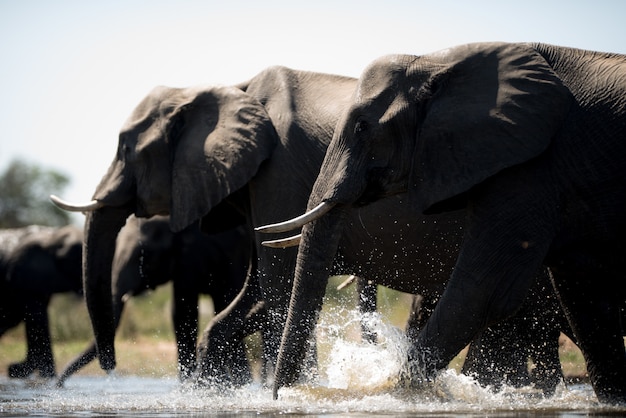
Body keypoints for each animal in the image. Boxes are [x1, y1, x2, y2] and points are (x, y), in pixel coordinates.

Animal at [260, 41, 624, 402]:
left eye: (362, 127)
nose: (283, 396)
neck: (438, 61)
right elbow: (584, 296)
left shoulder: (529, 169)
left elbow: (483, 291)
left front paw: (398, 394)